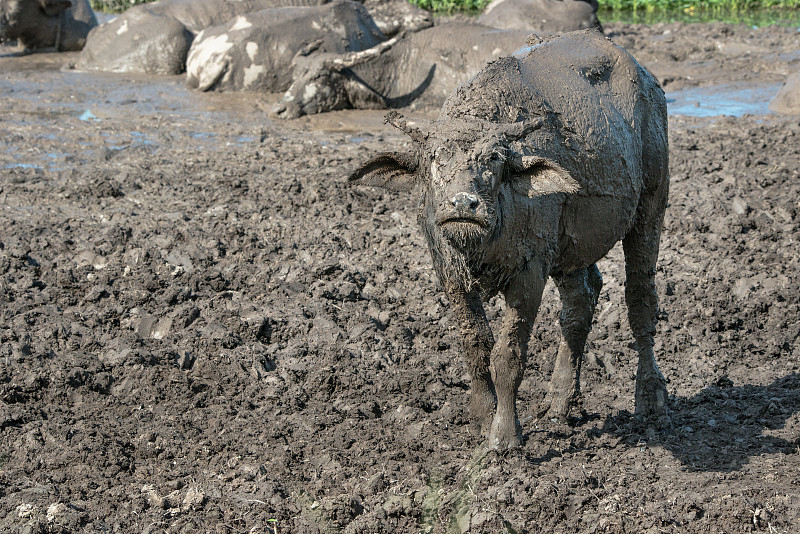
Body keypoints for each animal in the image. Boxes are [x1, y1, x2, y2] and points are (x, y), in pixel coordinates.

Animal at [350, 27, 668, 450]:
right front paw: (483, 418)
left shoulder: (530, 271)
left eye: (495, 160)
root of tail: (646, 78)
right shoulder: (449, 271)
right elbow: (475, 345)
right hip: (571, 246)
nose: (463, 203)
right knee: (581, 302)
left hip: (651, 205)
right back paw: (559, 402)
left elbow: (508, 355)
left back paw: (649, 397)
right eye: (434, 158)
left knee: (640, 298)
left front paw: (504, 435)